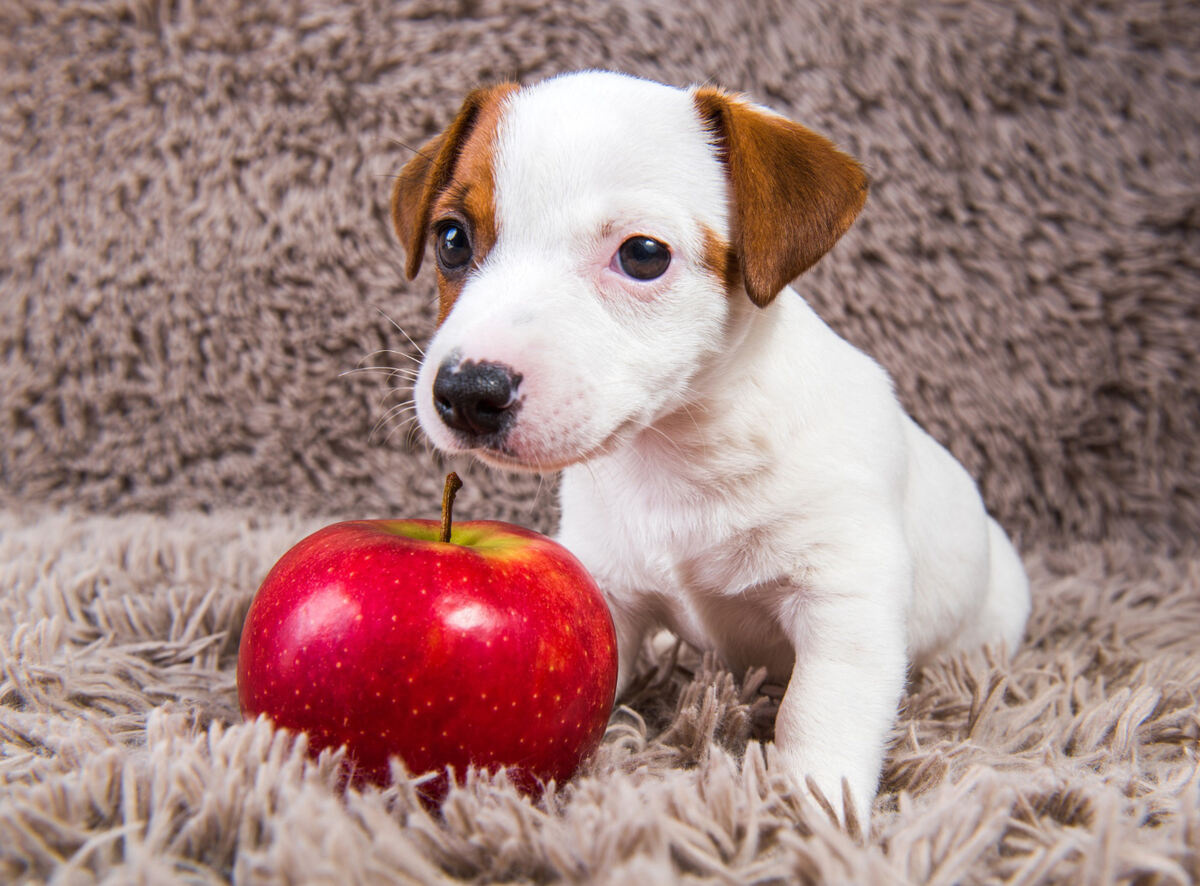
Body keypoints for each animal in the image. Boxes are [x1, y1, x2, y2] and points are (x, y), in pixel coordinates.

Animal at [388, 70, 1027, 825]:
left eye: (643, 255)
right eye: (452, 239)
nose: (467, 392)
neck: (675, 452)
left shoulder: (844, 599)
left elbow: (819, 713)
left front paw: (813, 812)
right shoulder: (606, 590)